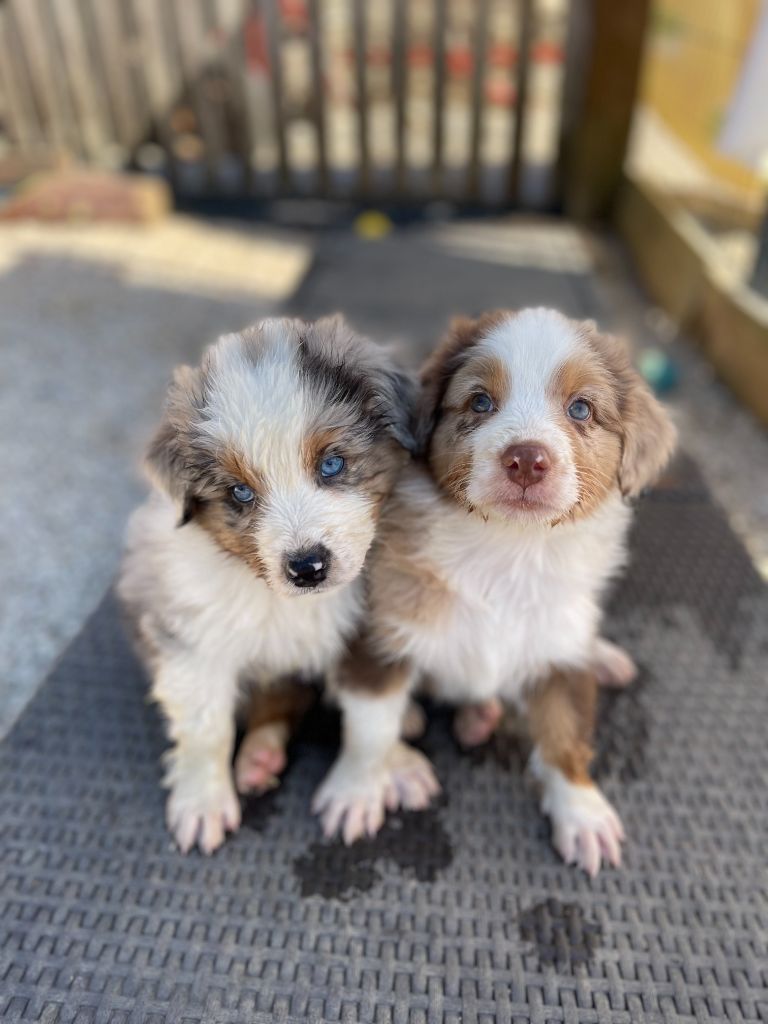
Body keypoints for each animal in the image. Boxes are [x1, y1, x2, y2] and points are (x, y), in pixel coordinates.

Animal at [119, 315, 417, 851]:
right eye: (240, 492)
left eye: (332, 464)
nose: (308, 567)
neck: (283, 601)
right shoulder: (191, 641)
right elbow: (206, 728)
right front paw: (202, 803)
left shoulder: (370, 633)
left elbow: (371, 719)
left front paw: (356, 793)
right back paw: (259, 758)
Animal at [315, 307, 675, 876]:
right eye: (480, 401)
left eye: (581, 408)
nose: (526, 459)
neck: (509, 550)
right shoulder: (380, 631)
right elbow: (370, 723)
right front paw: (356, 790)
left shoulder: (560, 651)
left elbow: (566, 734)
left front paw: (584, 814)